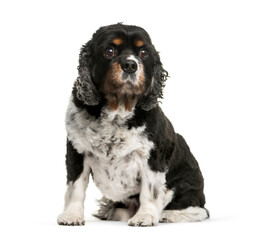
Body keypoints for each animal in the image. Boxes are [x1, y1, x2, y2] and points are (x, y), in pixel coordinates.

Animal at [57, 23, 208, 227]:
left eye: (144, 53)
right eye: (109, 51)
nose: (130, 65)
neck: (118, 109)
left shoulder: (152, 157)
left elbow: (149, 191)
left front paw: (145, 216)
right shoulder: (77, 151)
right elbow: (76, 187)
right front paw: (71, 215)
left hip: (186, 186)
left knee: (199, 210)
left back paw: (168, 215)